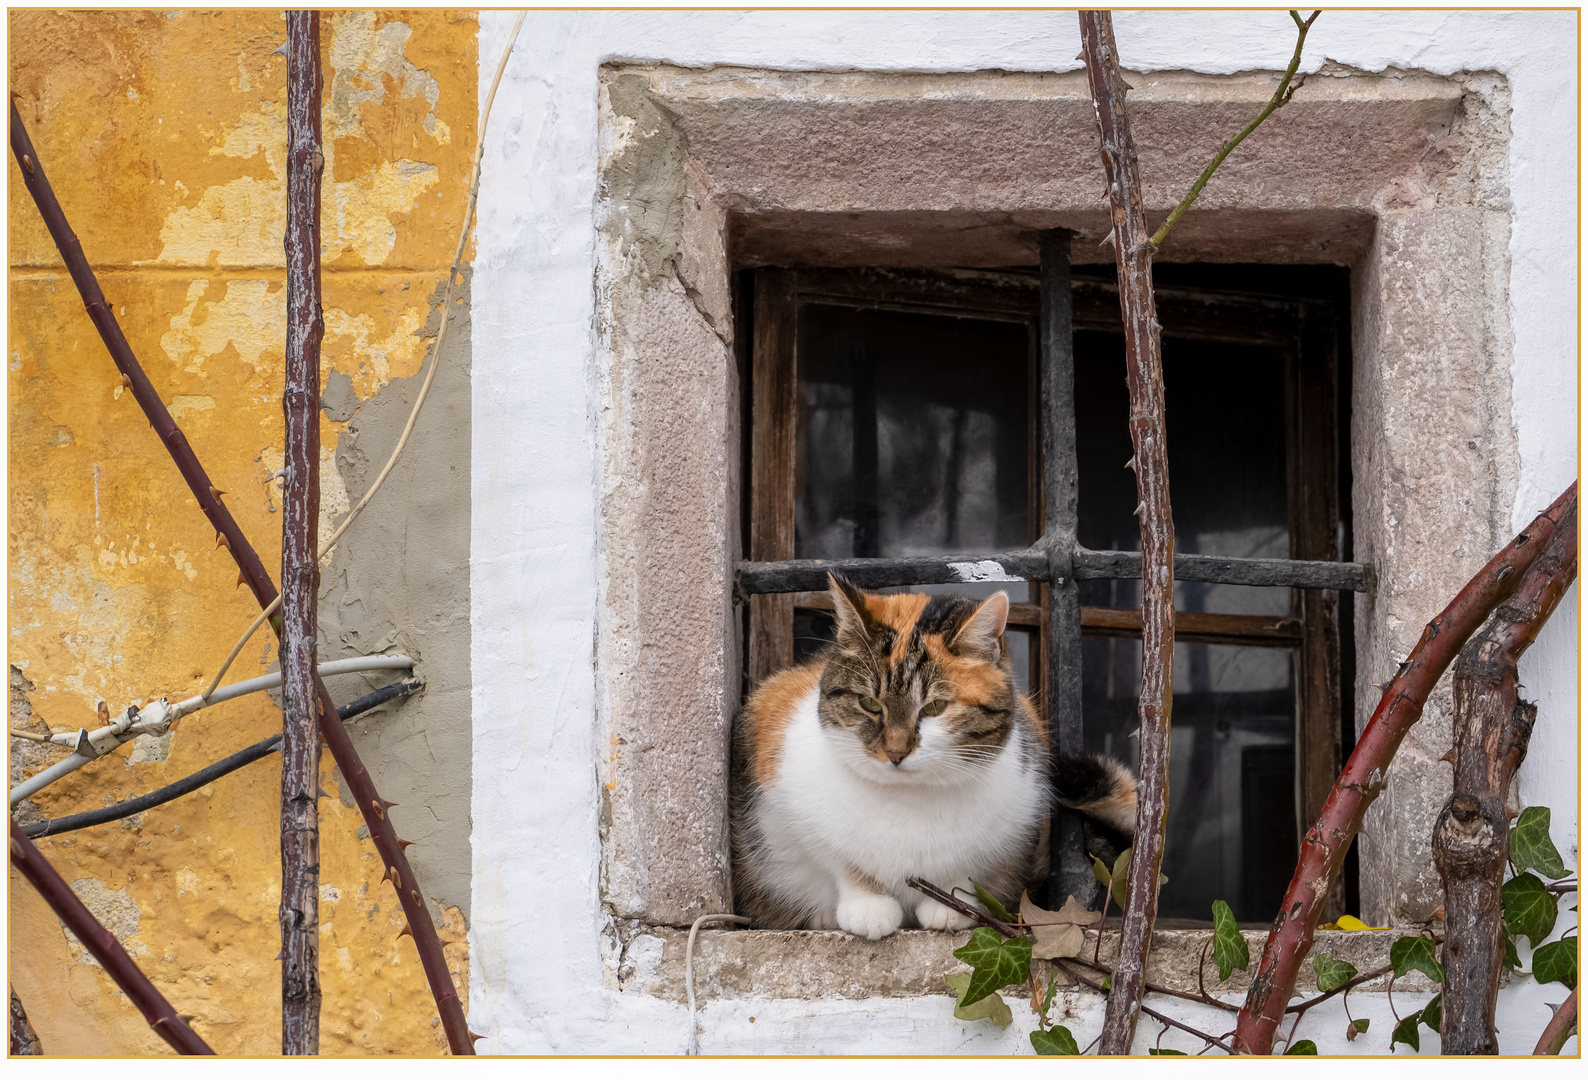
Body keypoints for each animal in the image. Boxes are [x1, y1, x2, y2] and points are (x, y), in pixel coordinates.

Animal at [733, 574, 1054, 933]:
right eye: (869, 703)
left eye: (935, 707)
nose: (896, 752)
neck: (907, 798)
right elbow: (845, 863)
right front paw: (868, 908)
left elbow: (966, 869)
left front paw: (949, 908)